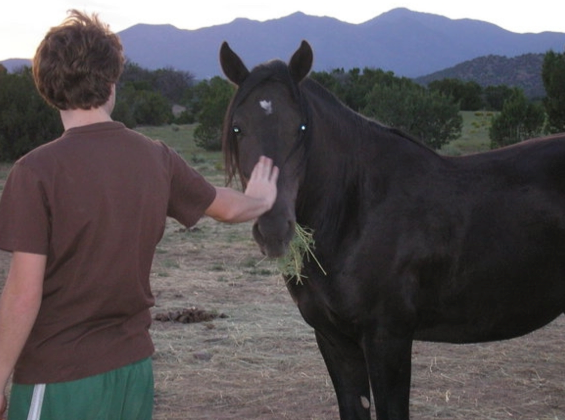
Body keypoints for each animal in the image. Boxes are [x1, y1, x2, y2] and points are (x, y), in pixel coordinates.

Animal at [218, 40, 560, 420]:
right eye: (237, 128)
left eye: (302, 128)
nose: (274, 227)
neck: (358, 212)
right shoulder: (334, 339)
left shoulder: (388, 339)